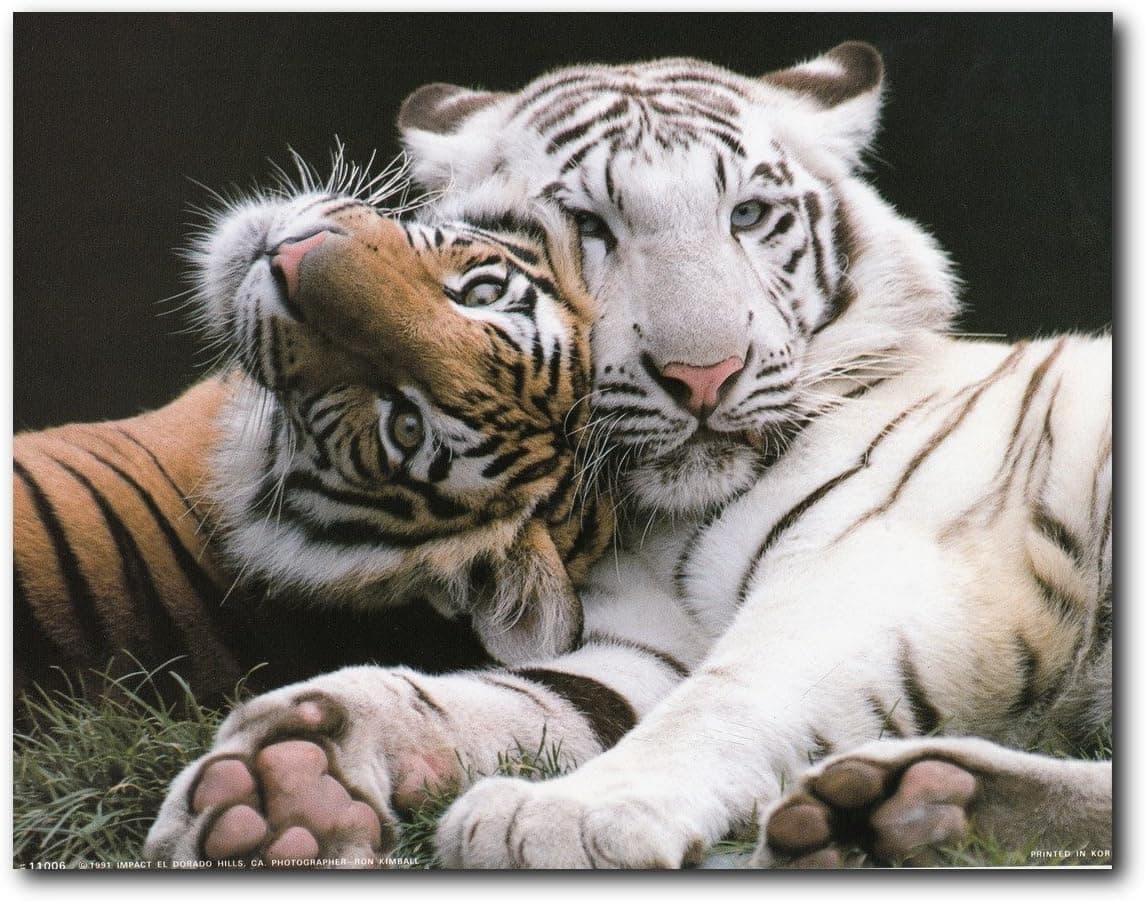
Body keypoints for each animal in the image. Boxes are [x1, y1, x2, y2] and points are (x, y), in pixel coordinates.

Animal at [146, 43, 1111, 868]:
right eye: (587, 223)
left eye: (748, 215)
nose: (706, 375)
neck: (656, 519)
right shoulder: (641, 646)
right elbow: (508, 697)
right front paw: (278, 783)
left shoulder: (888, 558)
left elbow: (726, 694)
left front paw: (568, 814)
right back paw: (905, 809)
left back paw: (893, 819)